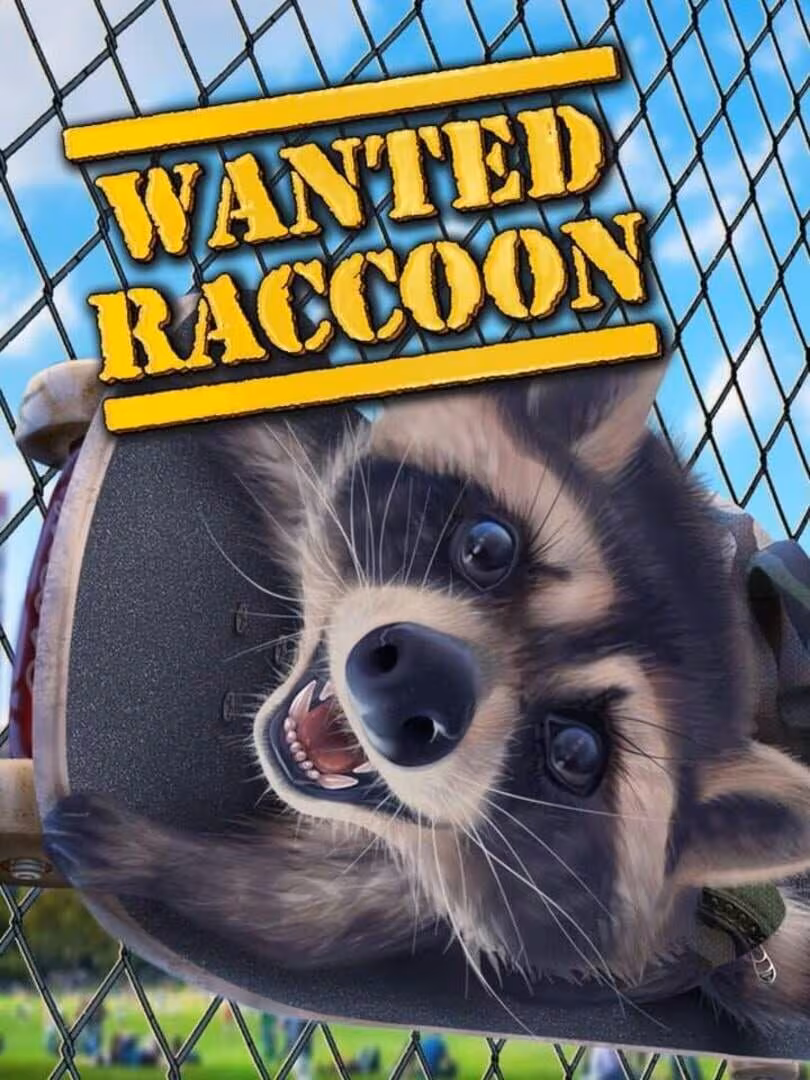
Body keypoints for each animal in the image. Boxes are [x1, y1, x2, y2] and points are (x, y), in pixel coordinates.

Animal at [45, 354, 810, 1031]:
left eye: (575, 750)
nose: (418, 682)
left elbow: (304, 911)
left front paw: (155, 858)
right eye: (486, 547)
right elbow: (306, 472)